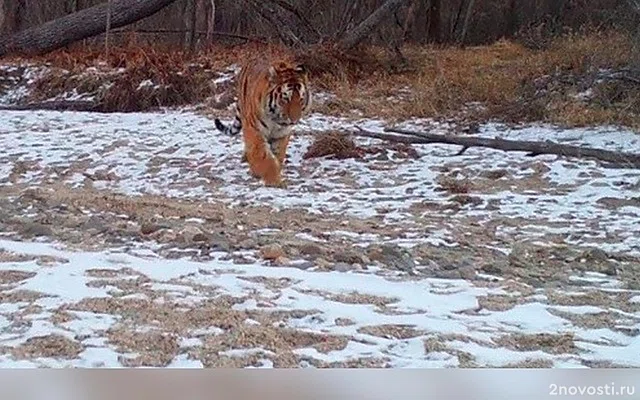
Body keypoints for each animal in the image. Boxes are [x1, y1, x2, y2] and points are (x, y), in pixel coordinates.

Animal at [215, 58, 312, 188]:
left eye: (301, 99)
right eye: (285, 99)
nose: (294, 119)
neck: (276, 120)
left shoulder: (281, 135)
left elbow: (277, 156)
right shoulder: (254, 130)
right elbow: (264, 157)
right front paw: (273, 180)